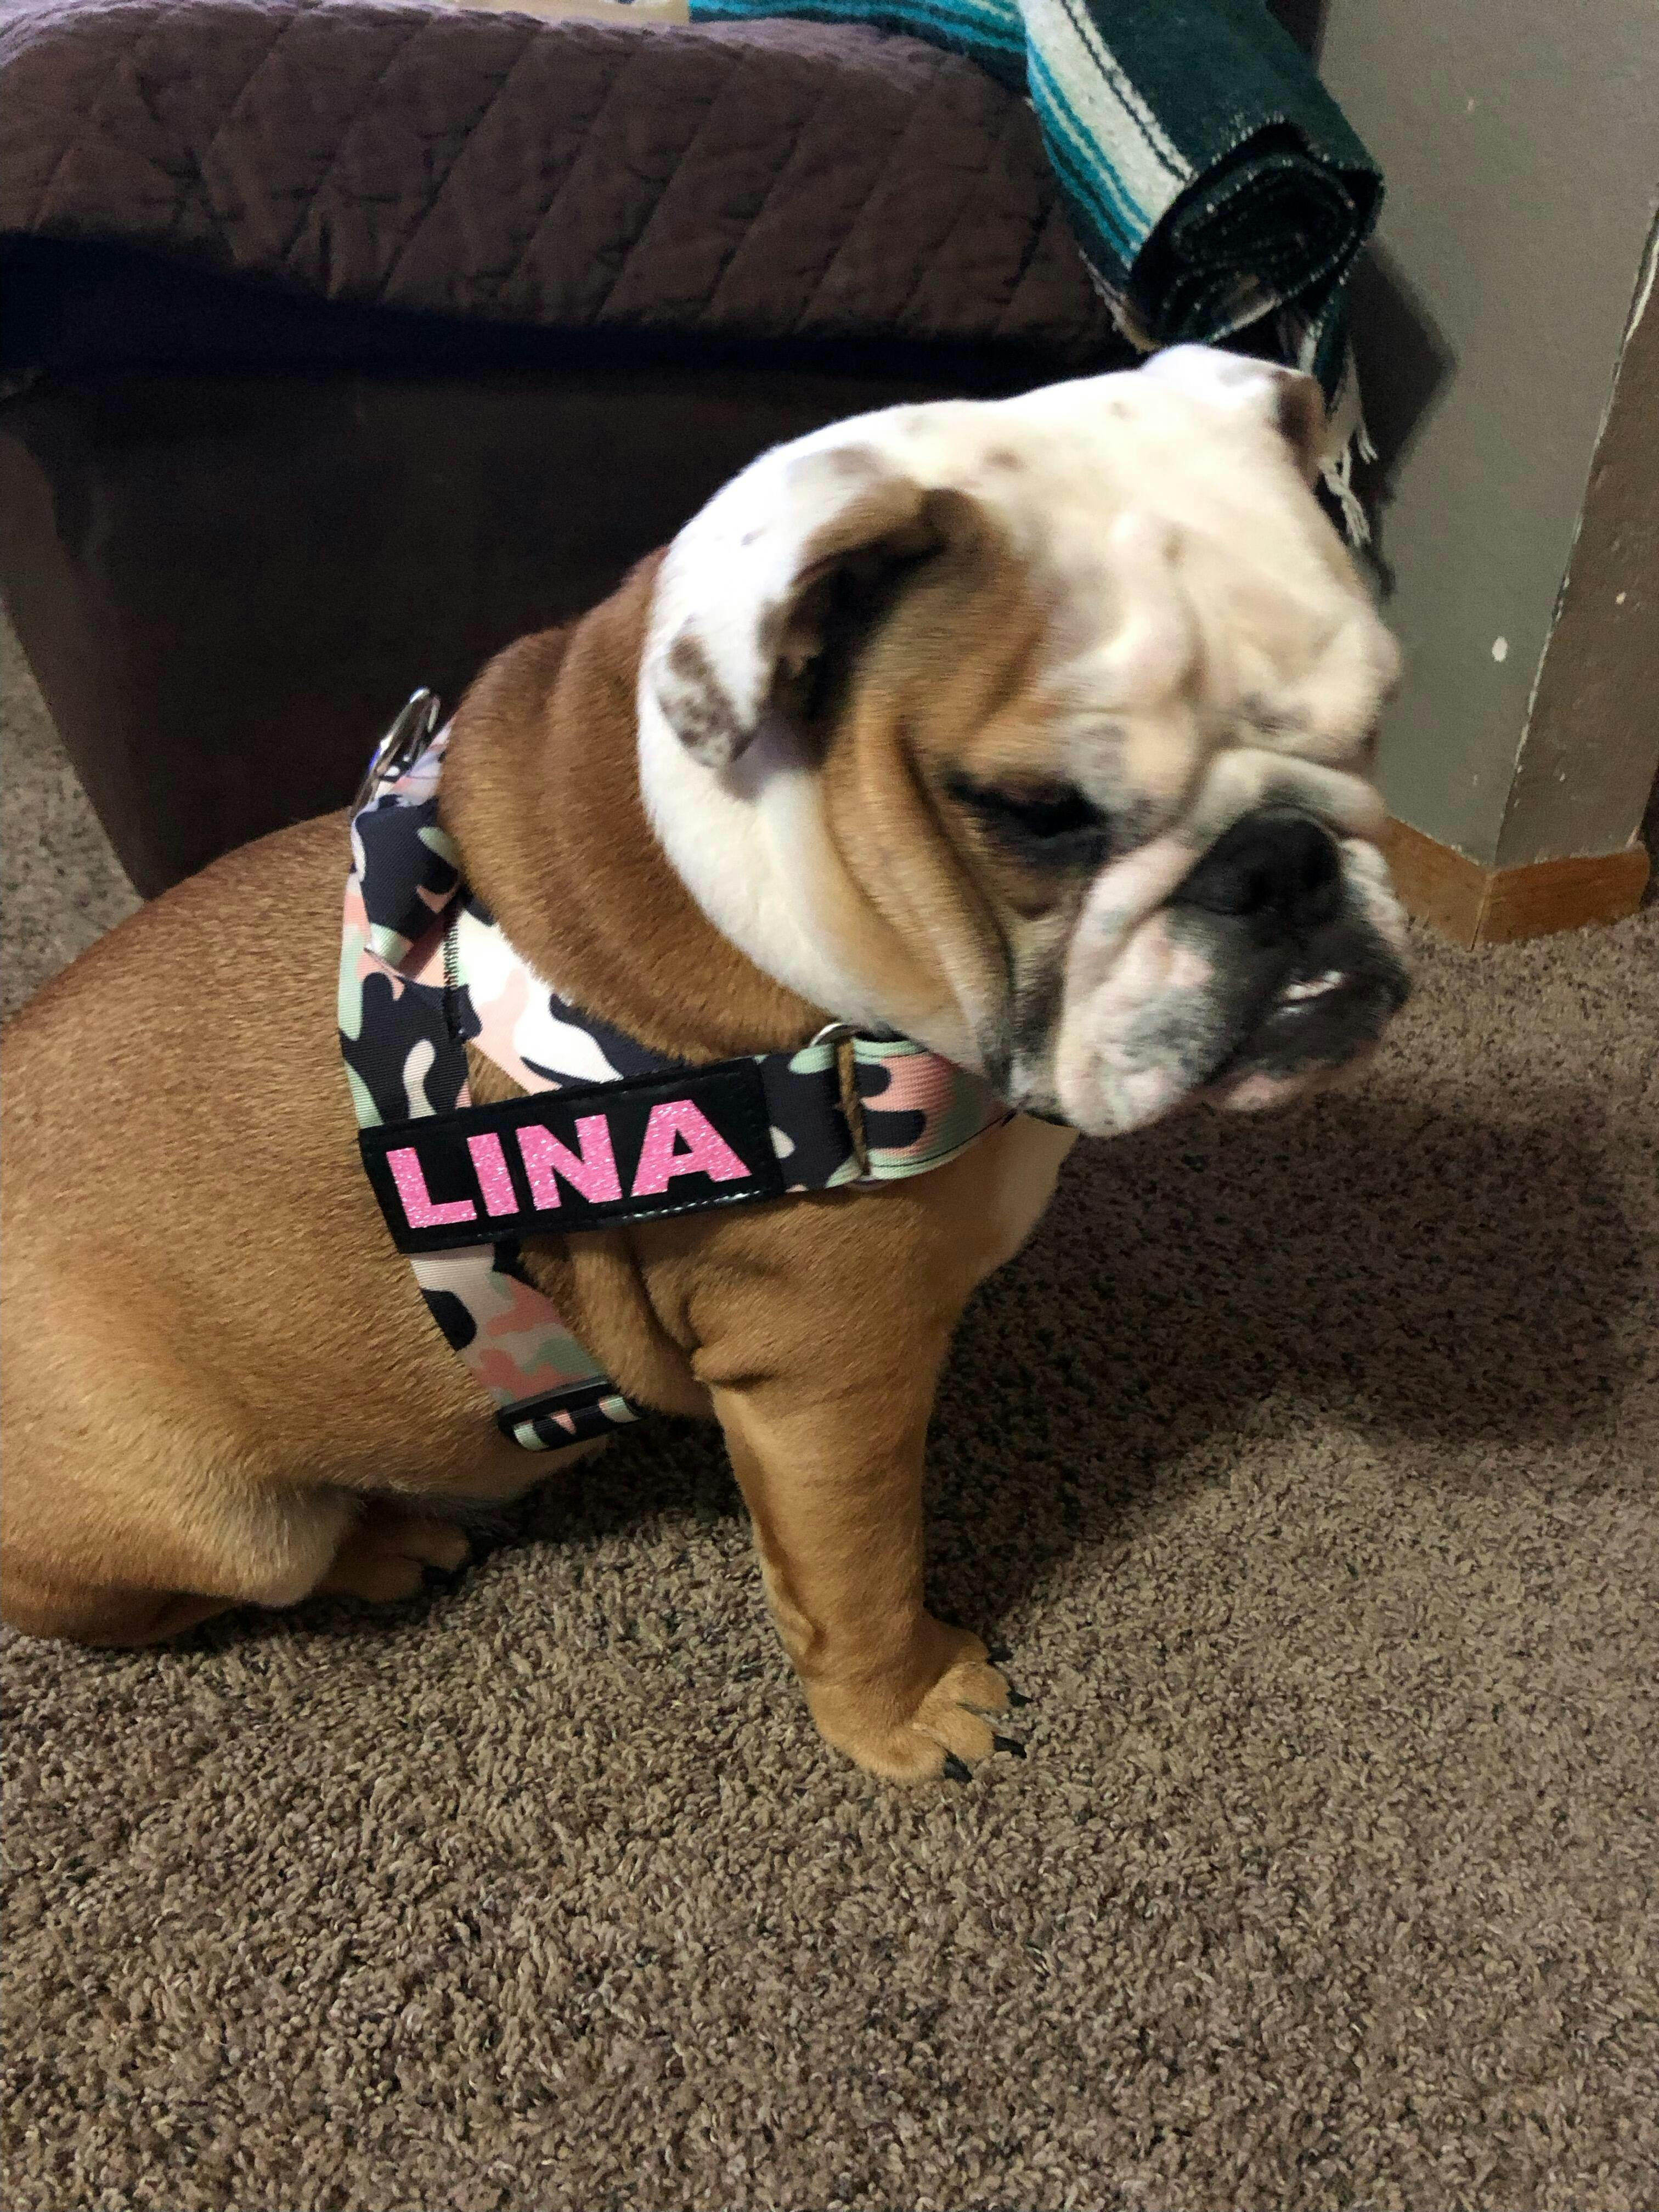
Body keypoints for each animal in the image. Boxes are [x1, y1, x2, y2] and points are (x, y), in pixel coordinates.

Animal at [0, 347, 1408, 1780]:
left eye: (1376, 719)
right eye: (1040, 814)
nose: (1283, 862)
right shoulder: (829, 1378)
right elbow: (858, 1569)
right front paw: (905, 1711)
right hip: (224, 1524)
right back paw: (380, 1541)